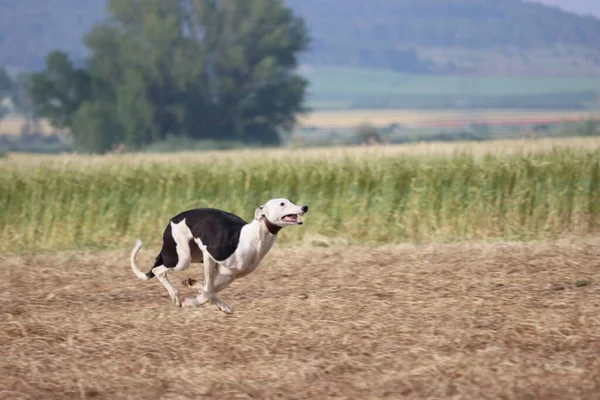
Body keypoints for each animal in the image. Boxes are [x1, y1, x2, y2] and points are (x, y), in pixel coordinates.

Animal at [130, 198, 310, 314]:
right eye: (282, 203)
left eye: (291, 200)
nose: (305, 207)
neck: (254, 236)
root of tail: (172, 219)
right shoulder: (209, 255)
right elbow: (208, 288)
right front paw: (190, 301)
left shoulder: (230, 275)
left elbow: (209, 289)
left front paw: (195, 292)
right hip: (182, 259)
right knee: (158, 270)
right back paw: (175, 294)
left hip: (194, 257)